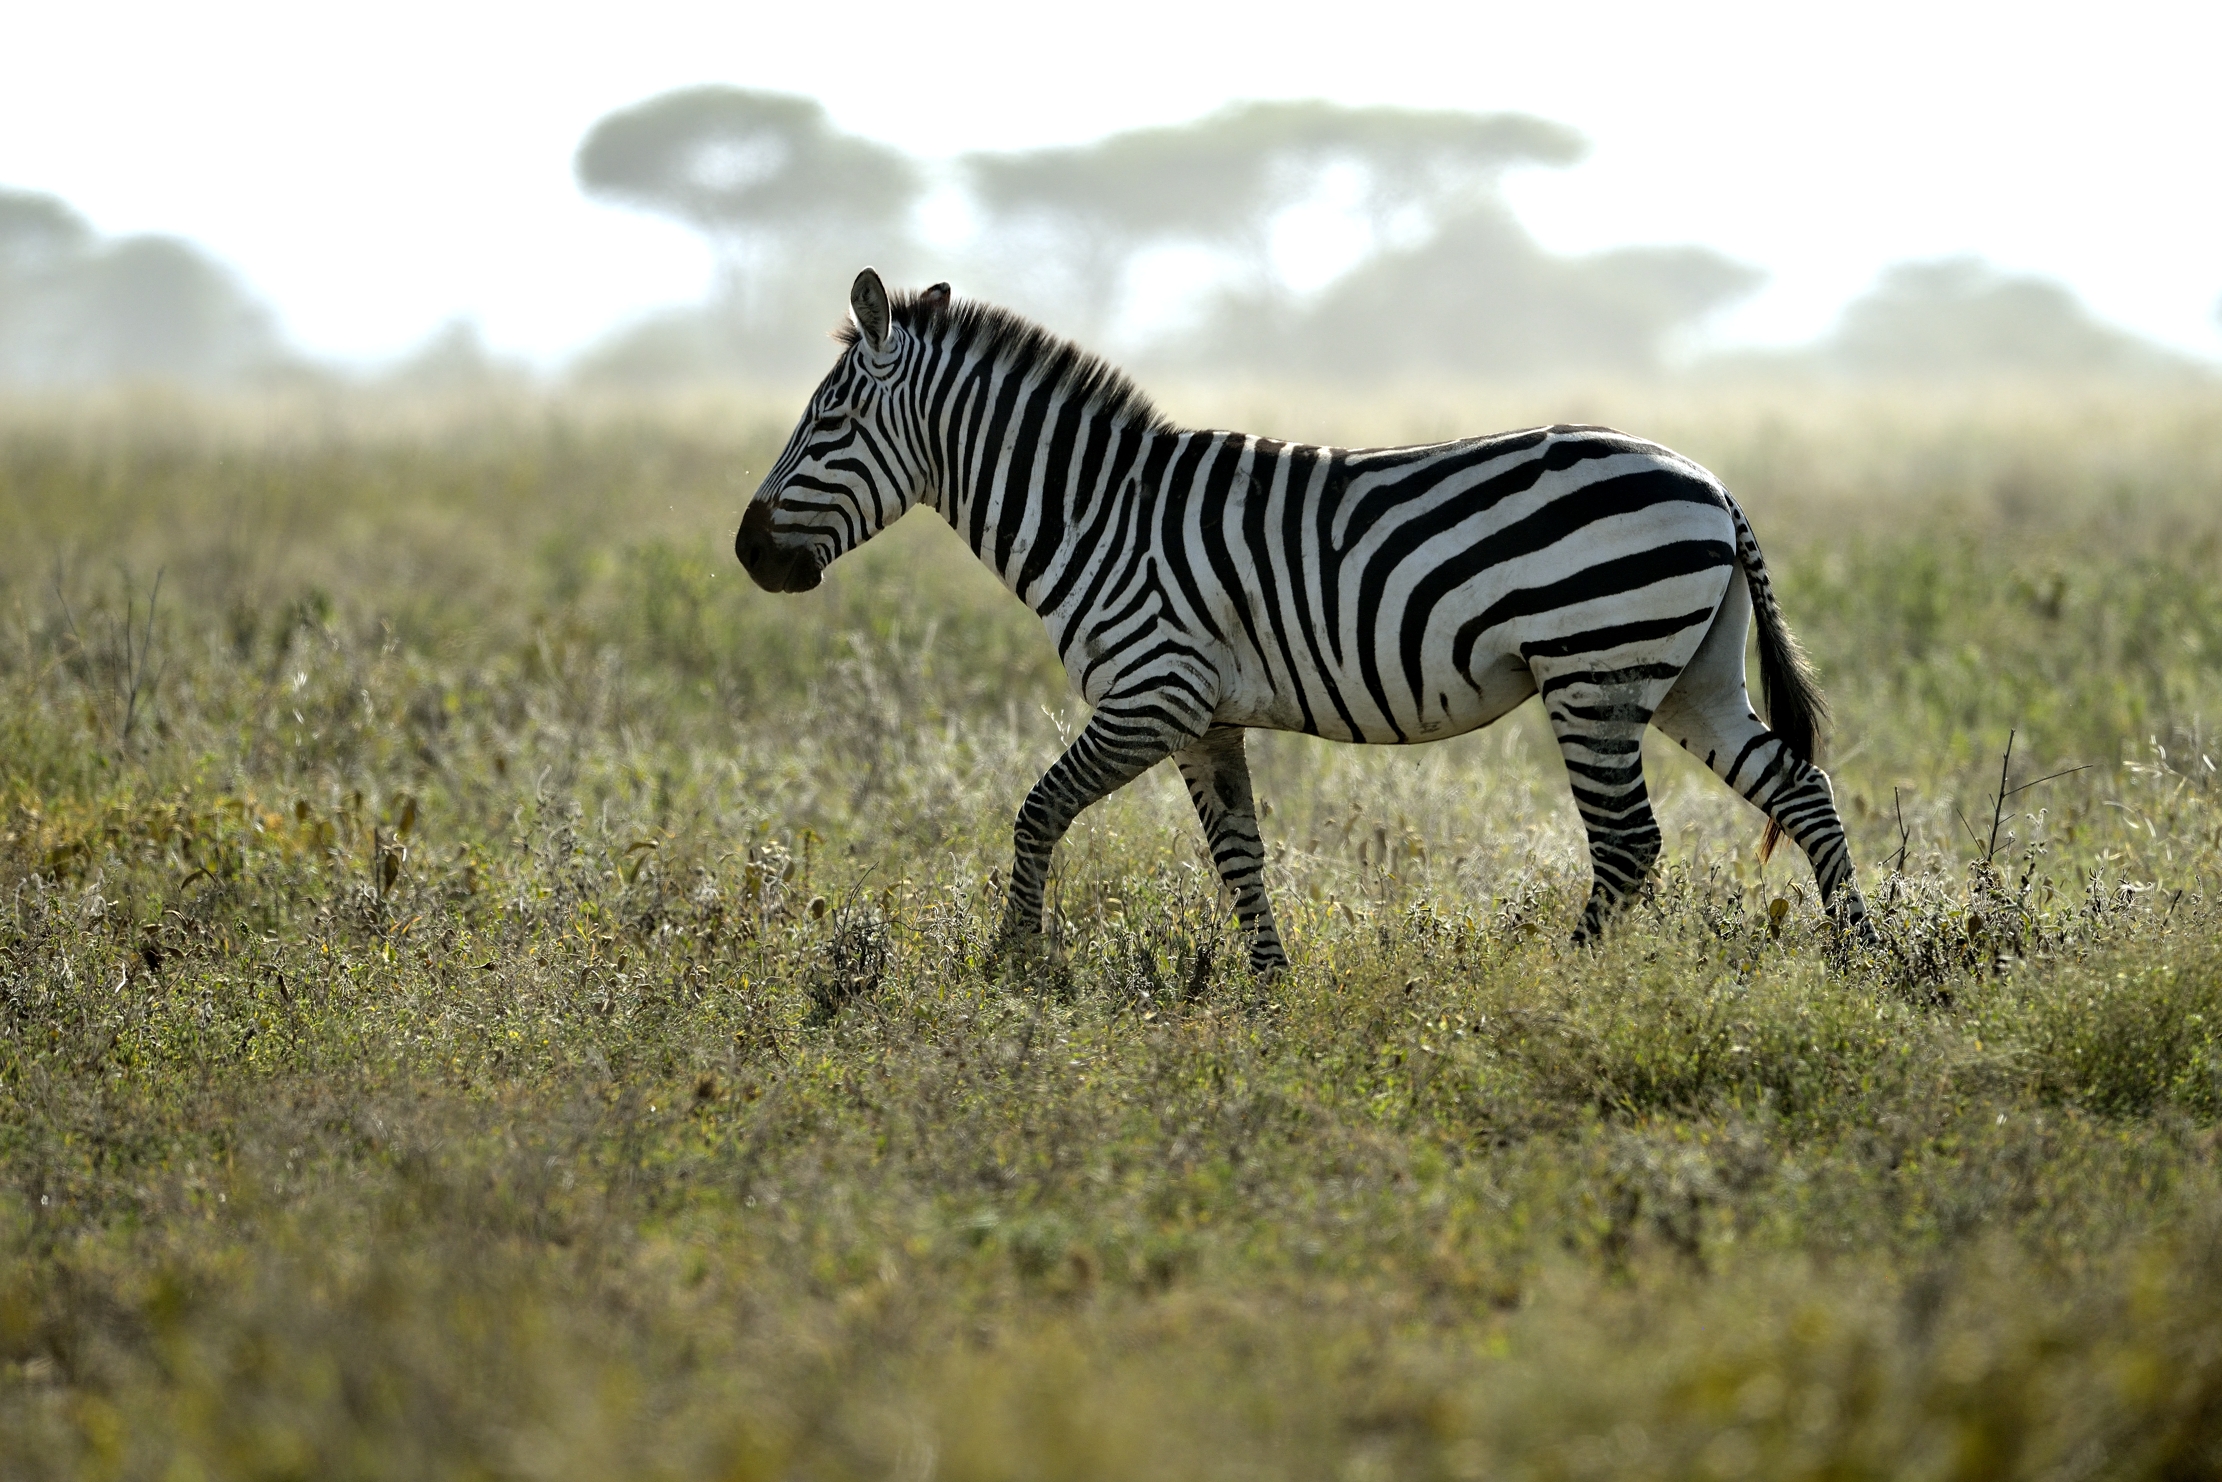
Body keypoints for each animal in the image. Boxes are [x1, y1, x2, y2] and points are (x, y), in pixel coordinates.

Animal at [736, 268, 1870, 973]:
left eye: (825, 422)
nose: (748, 556)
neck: (1095, 508)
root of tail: (1712, 485)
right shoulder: (1202, 718)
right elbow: (1238, 855)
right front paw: (1270, 986)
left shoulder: (1151, 692)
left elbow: (1036, 810)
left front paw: (1011, 962)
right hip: (1687, 675)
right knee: (1800, 790)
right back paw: (1862, 958)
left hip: (1594, 672)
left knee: (1630, 841)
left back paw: (1567, 971)